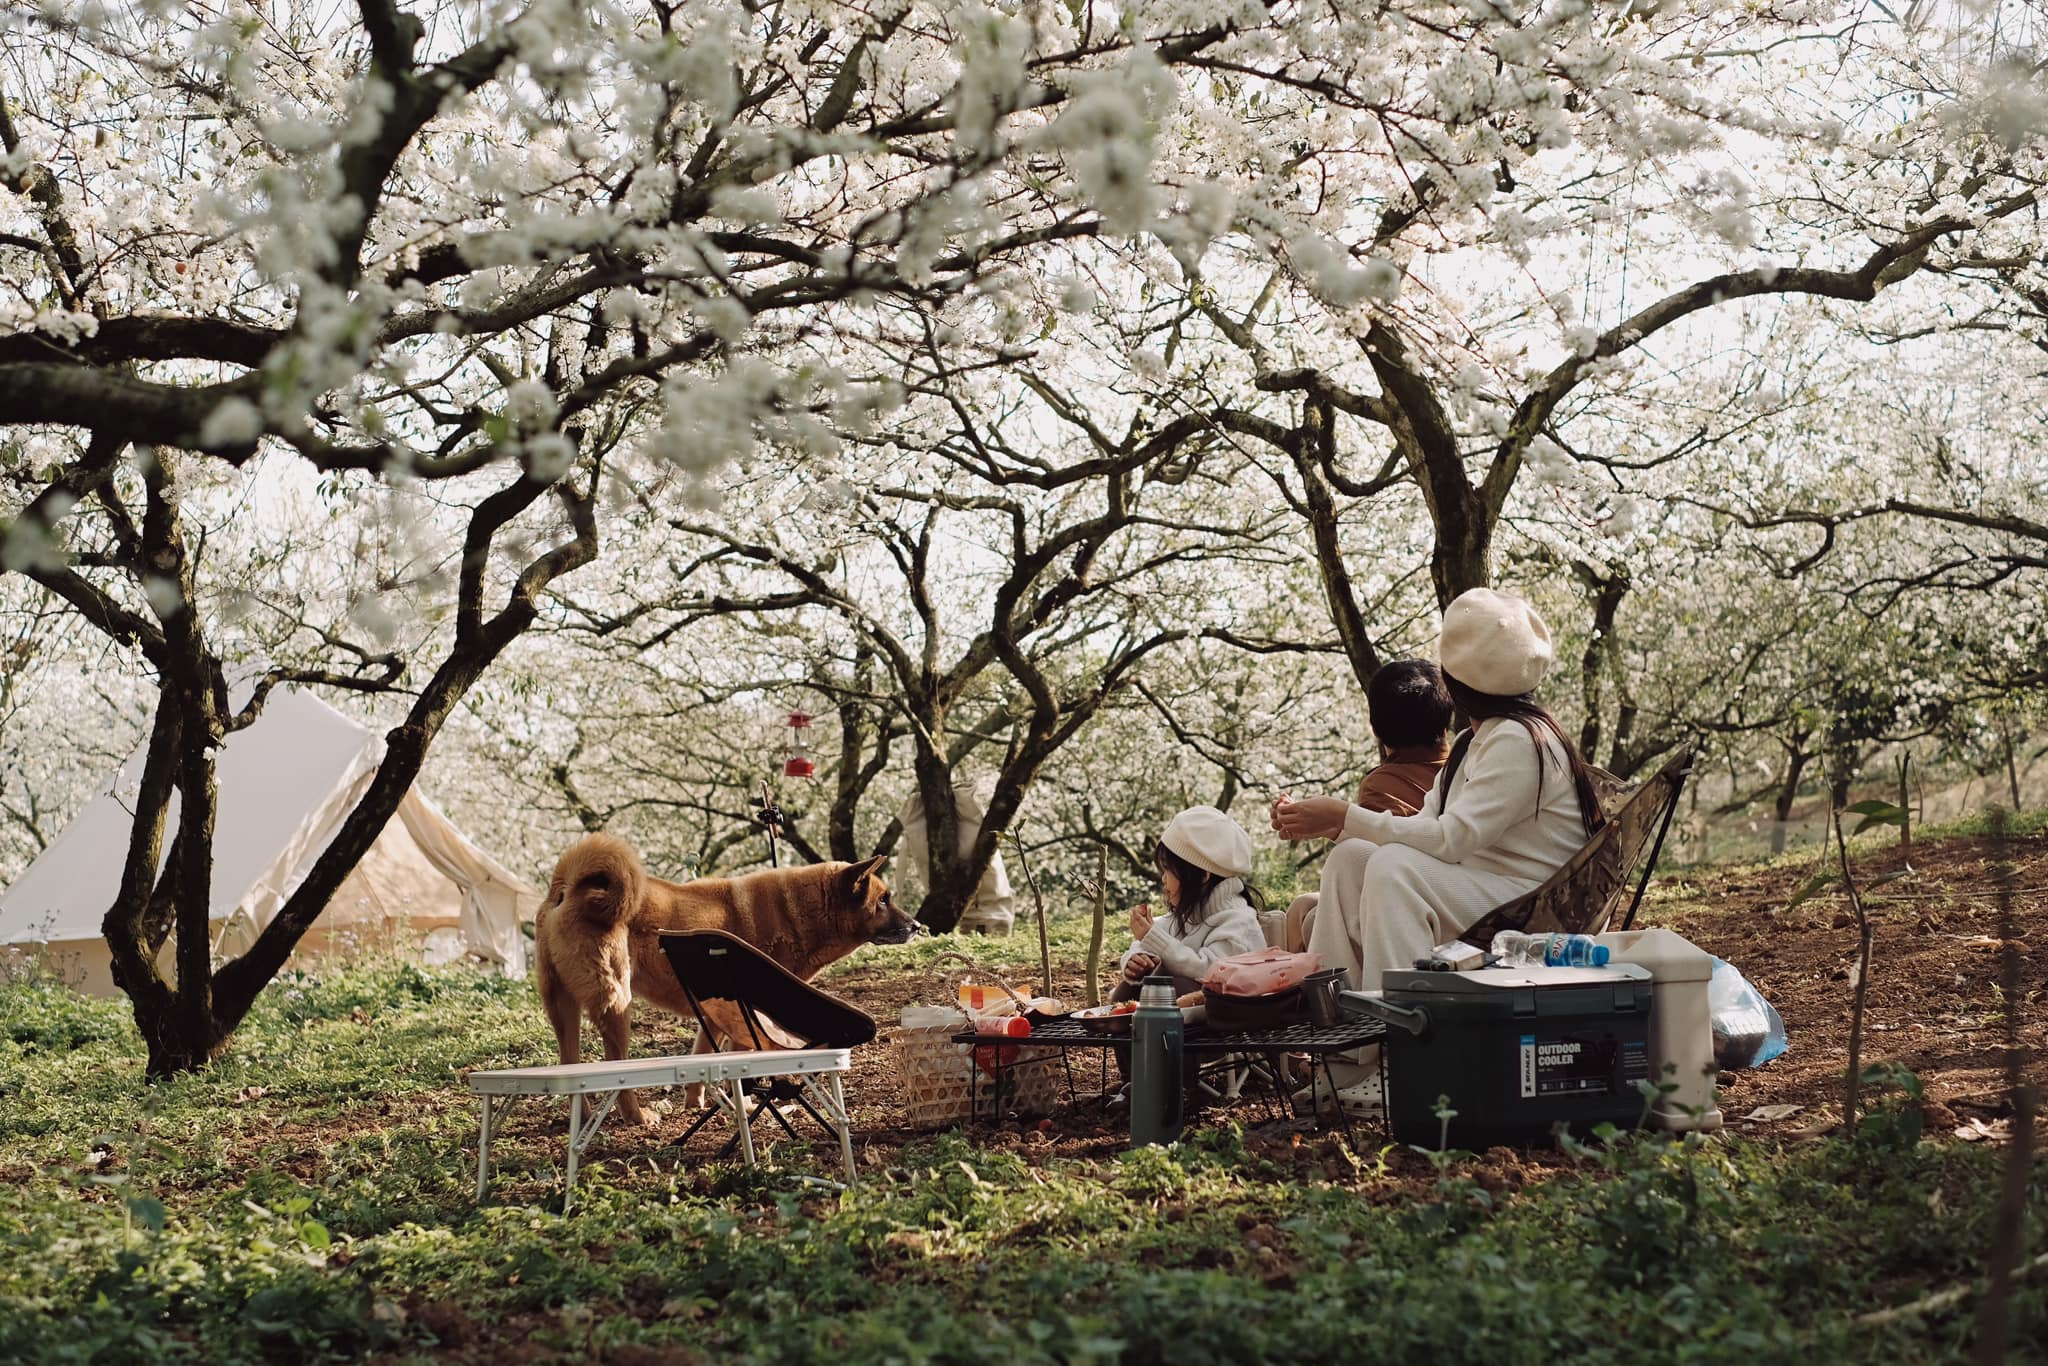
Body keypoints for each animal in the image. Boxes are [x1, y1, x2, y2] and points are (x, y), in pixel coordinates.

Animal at [532, 827, 917, 1130]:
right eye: (883, 900)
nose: (916, 926)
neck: (798, 911)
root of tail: (567, 887)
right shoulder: (747, 1011)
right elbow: (742, 1065)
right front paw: (743, 1105)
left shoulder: (716, 1012)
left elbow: (705, 1056)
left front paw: (699, 1104)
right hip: (616, 1003)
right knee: (616, 1067)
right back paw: (636, 1116)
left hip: (562, 1008)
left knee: (569, 1062)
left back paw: (583, 1116)